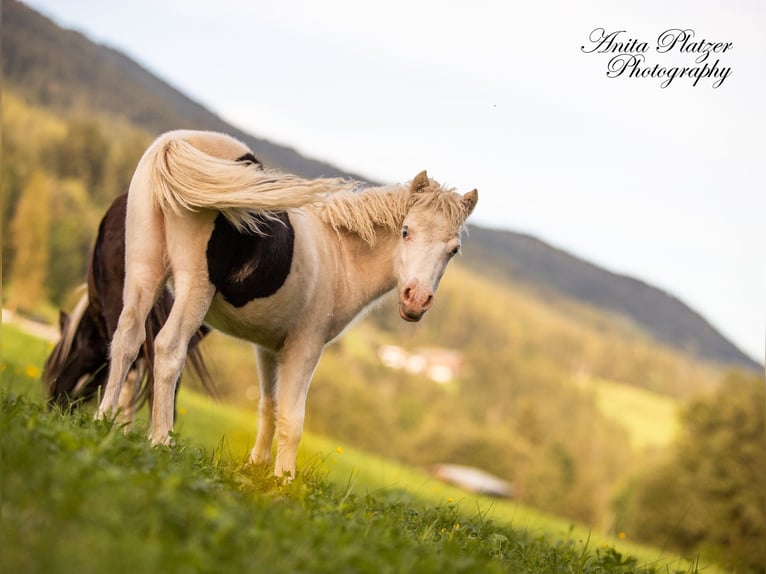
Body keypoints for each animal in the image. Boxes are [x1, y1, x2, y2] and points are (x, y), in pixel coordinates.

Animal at [97, 129, 480, 476]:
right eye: (405, 231)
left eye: (453, 250)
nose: (416, 299)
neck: (339, 254)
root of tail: (173, 144)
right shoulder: (305, 347)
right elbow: (293, 419)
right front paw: (283, 482)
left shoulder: (268, 348)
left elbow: (269, 405)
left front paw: (256, 468)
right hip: (194, 287)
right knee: (168, 349)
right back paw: (161, 440)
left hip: (143, 271)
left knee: (127, 341)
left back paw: (105, 422)